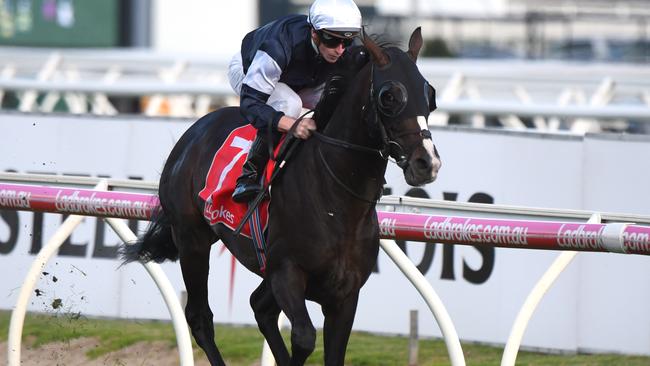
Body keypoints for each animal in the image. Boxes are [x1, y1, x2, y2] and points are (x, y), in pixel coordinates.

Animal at [121, 29, 440, 366]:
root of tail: (194, 130)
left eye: (430, 95)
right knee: (200, 317)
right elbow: (304, 337)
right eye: (388, 96)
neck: (337, 204)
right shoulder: (287, 274)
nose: (427, 163)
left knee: (258, 306)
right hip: (191, 239)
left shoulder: (344, 294)